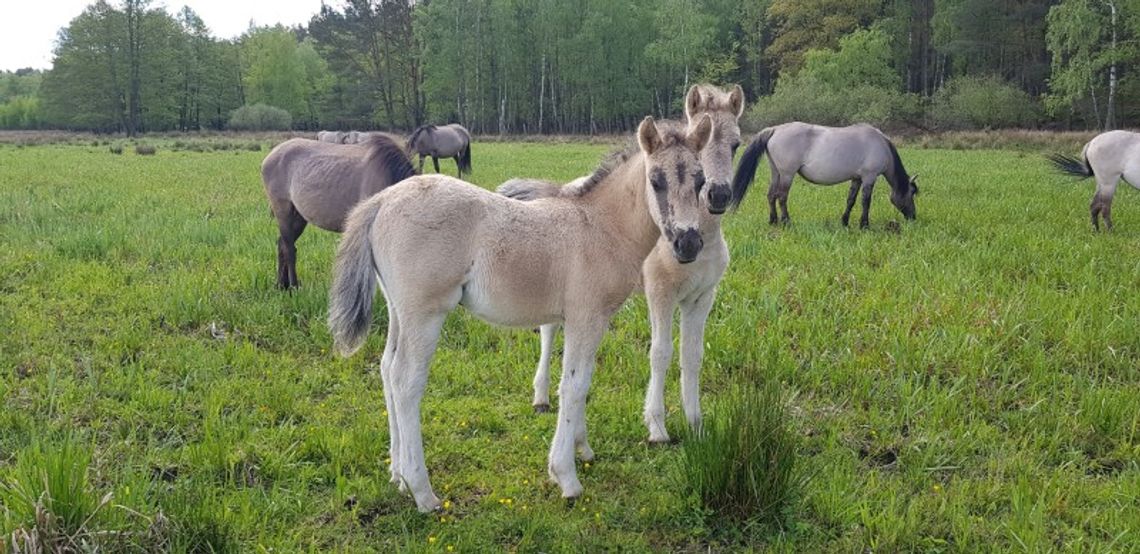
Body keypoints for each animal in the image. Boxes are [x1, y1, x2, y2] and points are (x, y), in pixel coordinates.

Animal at [261, 135, 417, 287]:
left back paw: (282, 285)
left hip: (298, 217)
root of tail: (270, 156)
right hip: (283, 211)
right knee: (289, 249)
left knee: (282, 244)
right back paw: (293, 286)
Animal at [326, 115, 706, 510]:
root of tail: (382, 200)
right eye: (656, 180)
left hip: (397, 311)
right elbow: (573, 386)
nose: (689, 243)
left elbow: (583, 381)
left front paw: (583, 448)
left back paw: (398, 475)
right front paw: (565, 476)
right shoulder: (585, 317)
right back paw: (422, 492)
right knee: (405, 381)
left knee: (386, 369)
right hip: (424, 314)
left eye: (701, 181)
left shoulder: (592, 320)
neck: (600, 227)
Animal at [503, 84, 743, 444]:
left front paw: (696, 425)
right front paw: (657, 426)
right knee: (548, 330)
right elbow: (660, 353)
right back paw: (541, 398)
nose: (719, 195)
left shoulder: (702, 298)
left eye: (736, 144)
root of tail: (566, 188)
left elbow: (693, 356)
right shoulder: (660, 293)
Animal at [729, 121, 916, 226]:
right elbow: (866, 201)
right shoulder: (869, 177)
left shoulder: (856, 179)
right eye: (912, 193)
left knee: (771, 195)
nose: (913, 217)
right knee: (781, 197)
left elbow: (851, 200)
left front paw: (845, 221)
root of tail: (775, 129)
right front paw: (864, 224)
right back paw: (786, 221)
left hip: (776, 173)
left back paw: (773, 220)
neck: (880, 144)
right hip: (787, 174)